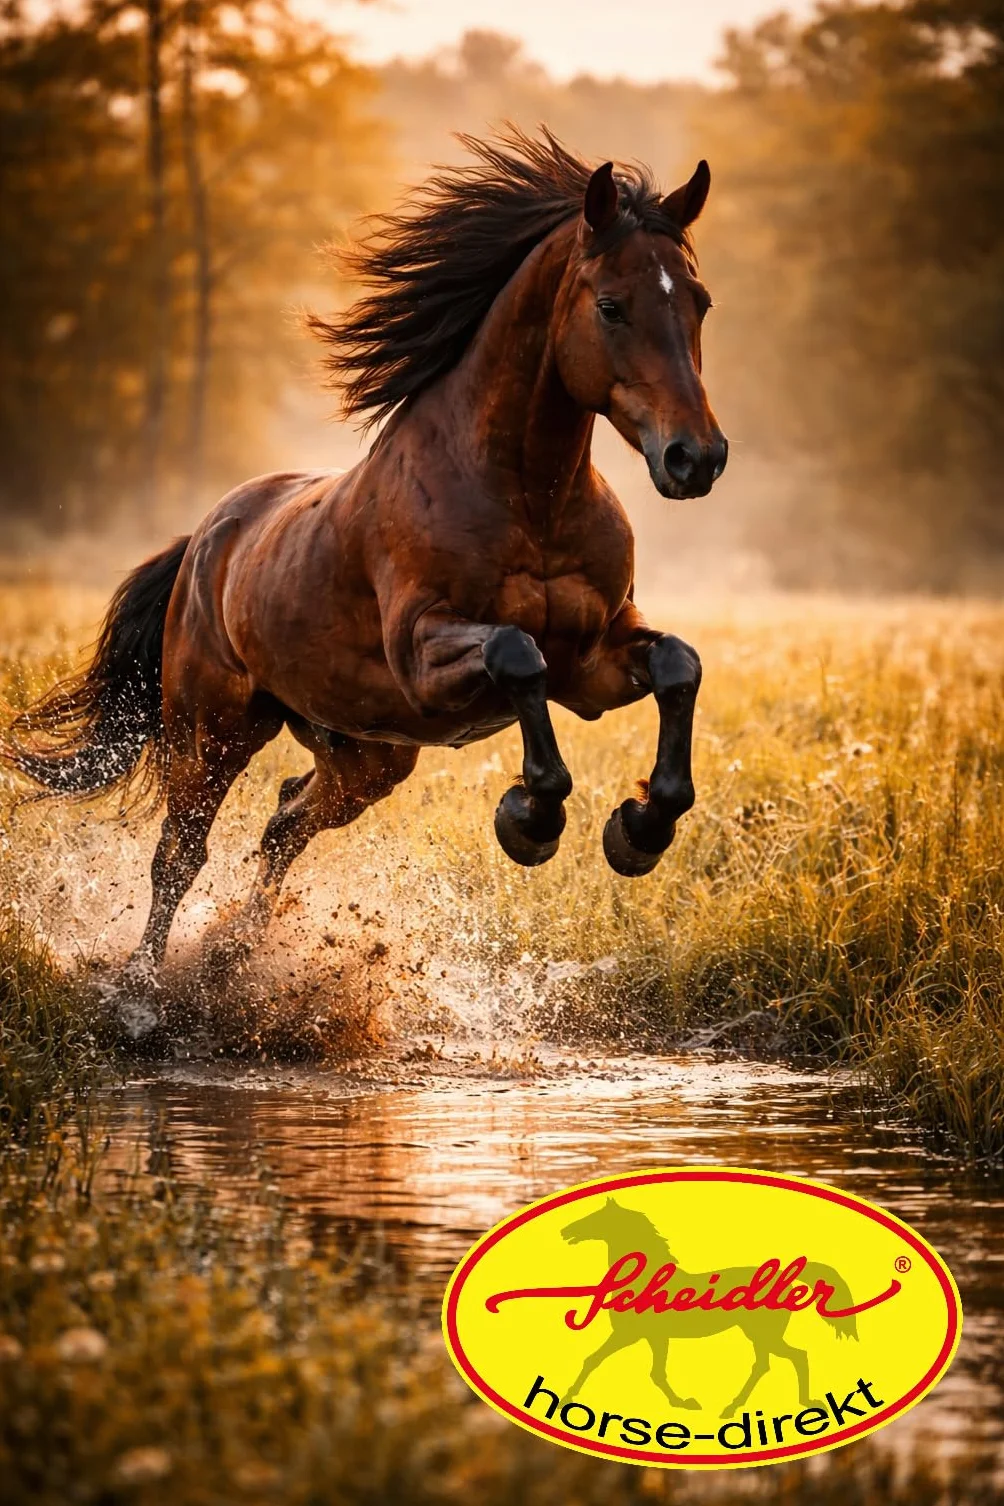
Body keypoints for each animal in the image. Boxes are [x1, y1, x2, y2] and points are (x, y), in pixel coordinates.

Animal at [1, 128, 728, 992]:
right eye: (611, 306)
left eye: (699, 302)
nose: (695, 458)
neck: (529, 499)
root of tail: (205, 541)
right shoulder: (427, 657)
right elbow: (518, 656)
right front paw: (529, 819)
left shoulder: (592, 663)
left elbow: (678, 663)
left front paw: (640, 828)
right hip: (213, 730)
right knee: (180, 852)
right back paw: (144, 984)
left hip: (366, 756)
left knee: (285, 820)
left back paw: (237, 956)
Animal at [559, 1199, 857, 1418]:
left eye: (595, 1218)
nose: (564, 1231)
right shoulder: (652, 1337)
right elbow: (651, 1372)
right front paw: (685, 1403)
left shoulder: (632, 1334)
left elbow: (598, 1361)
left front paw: (565, 1398)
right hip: (760, 1335)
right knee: (769, 1363)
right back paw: (736, 1407)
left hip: (764, 1334)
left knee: (793, 1357)